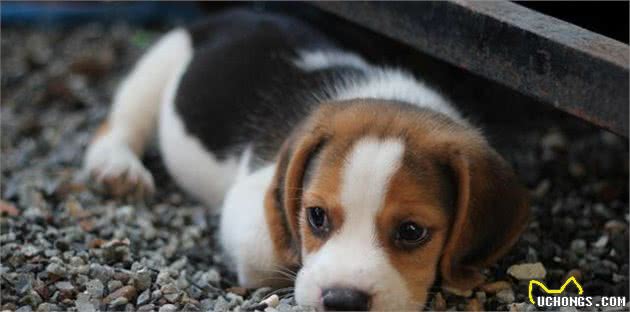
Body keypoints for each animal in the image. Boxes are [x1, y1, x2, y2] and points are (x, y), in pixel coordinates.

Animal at [82, 9, 528, 312]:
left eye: (412, 231)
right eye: (315, 217)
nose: (343, 301)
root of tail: (240, 13)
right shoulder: (250, 203)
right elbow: (273, 249)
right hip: (161, 61)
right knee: (122, 120)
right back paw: (117, 167)